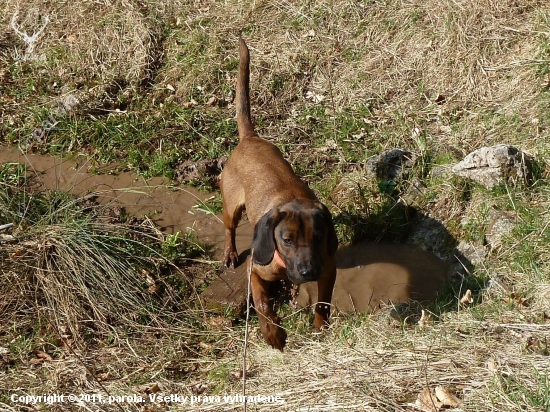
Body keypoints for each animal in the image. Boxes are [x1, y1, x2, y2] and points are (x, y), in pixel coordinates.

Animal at [222, 38, 338, 350]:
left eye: (319, 237)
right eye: (286, 240)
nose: (308, 272)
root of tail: (249, 138)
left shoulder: (328, 269)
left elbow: (322, 302)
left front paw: (320, 327)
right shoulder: (256, 271)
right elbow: (263, 304)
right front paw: (273, 334)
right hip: (231, 205)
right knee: (229, 228)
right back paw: (229, 252)